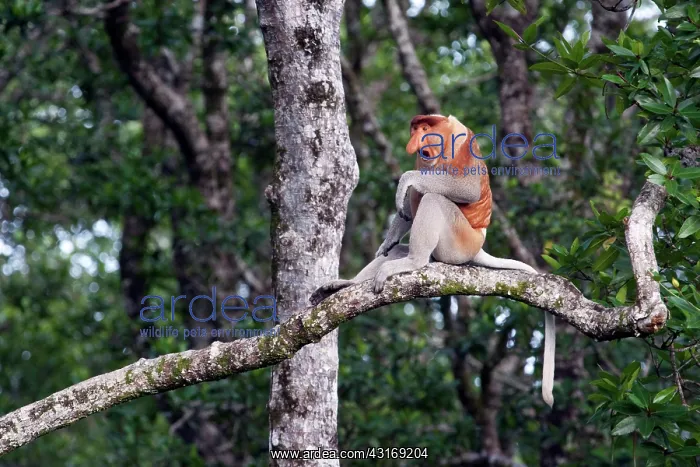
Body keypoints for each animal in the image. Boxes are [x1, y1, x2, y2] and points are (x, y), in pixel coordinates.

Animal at [311, 114, 555, 407]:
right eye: (415, 129)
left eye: (426, 129)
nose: (416, 143)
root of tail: (478, 247)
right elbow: (404, 213)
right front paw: (388, 239)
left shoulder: (461, 145)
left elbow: (465, 189)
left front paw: (407, 179)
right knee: (405, 235)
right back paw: (347, 284)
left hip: (460, 241)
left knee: (433, 197)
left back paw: (414, 261)